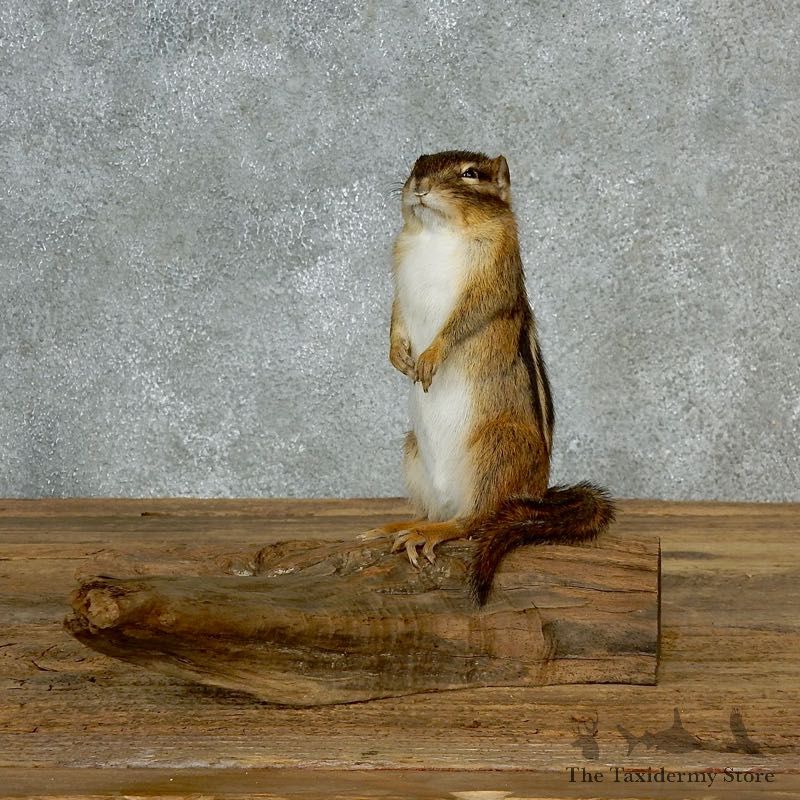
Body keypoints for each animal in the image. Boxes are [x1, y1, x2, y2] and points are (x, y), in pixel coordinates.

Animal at [363, 150, 615, 606]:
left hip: (496, 448)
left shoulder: (492, 277)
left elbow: (465, 319)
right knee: (438, 511)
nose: (420, 186)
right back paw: (405, 524)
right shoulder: (399, 278)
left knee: (476, 521)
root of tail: (536, 495)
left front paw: (430, 357)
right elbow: (395, 317)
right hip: (412, 450)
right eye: (417, 164)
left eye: (470, 173)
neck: (437, 235)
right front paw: (397, 356)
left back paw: (434, 532)